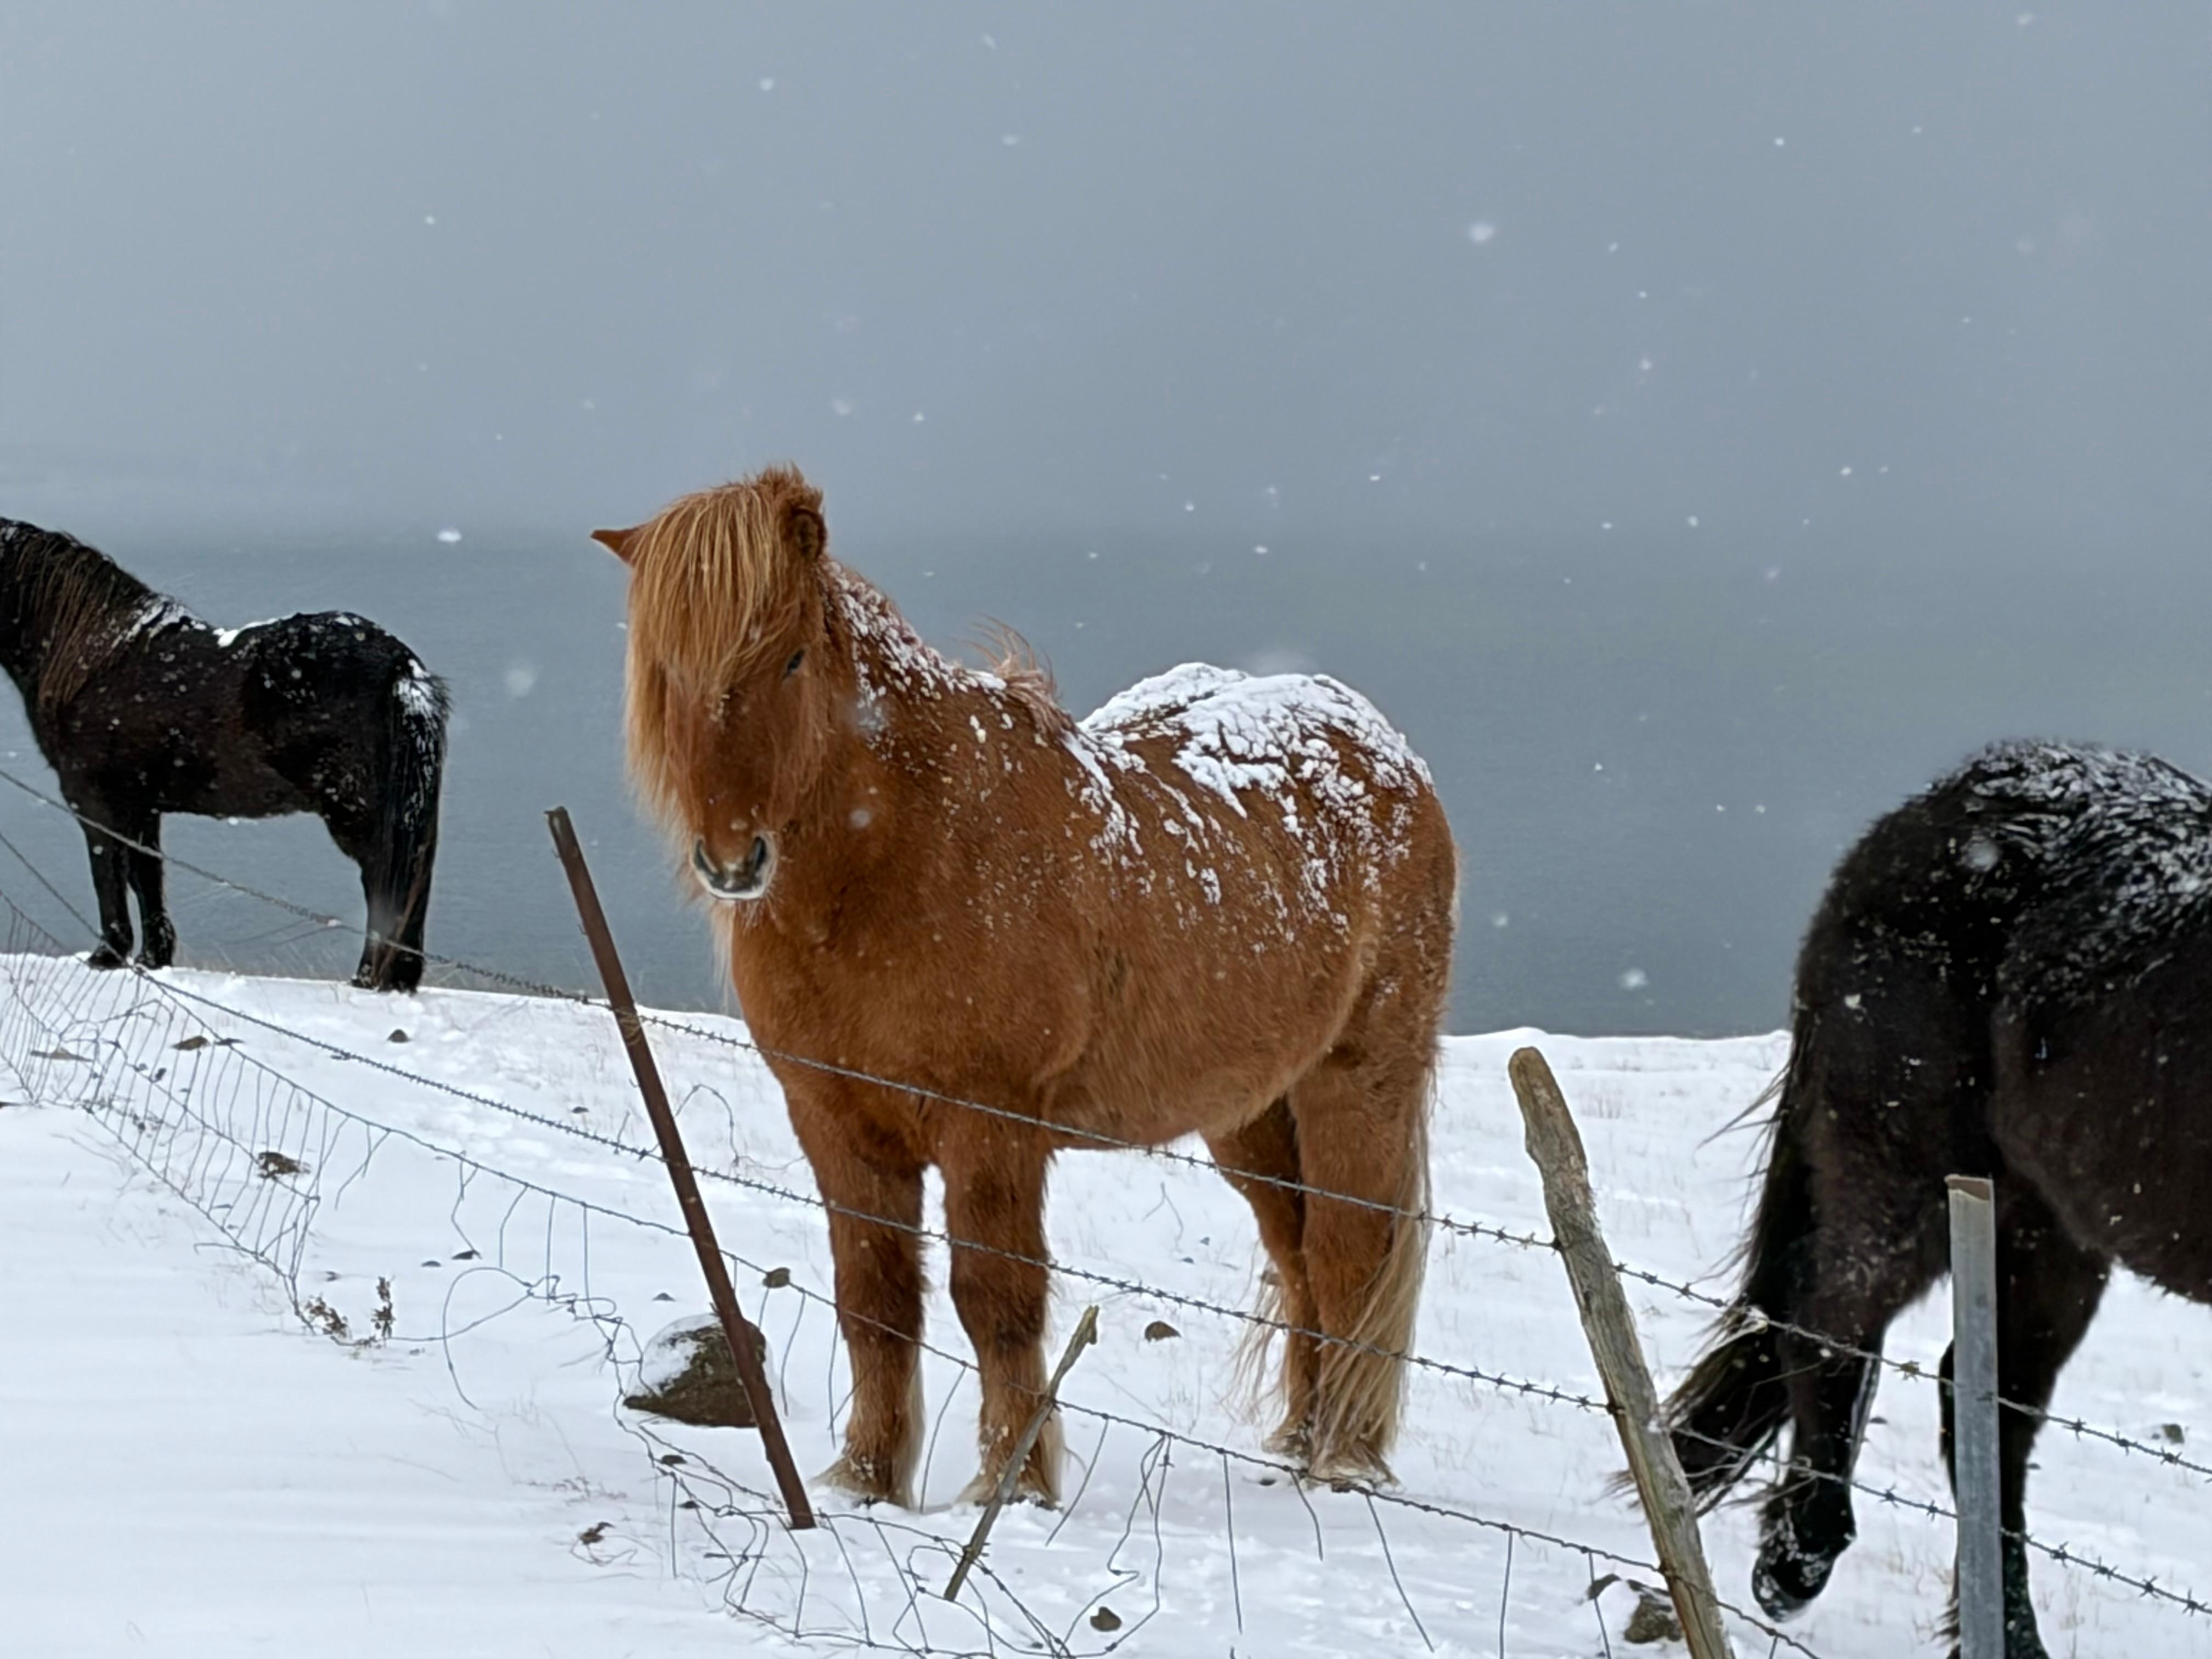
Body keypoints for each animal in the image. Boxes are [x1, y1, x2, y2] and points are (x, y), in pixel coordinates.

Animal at [0, 518, 448, 992]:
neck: (95, 661)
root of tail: (399, 666)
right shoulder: (142, 807)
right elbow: (145, 876)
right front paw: (153, 958)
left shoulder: (94, 802)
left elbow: (109, 874)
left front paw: (107, 957)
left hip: (359, 815)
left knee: (384, 886)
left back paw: (365, 979)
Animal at [599, 465, 1456, 1507]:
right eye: (664, 672)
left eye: (792, 657)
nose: (733, 859)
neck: (904, 852)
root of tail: (1388, 751)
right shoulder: (836, 1122)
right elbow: (874, 1298)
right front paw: (864, 1480)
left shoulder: (991, 1126)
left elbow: (994, 1300)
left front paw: (1010, 1486)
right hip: (1250, 1114)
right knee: (1296, 1262)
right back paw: (1297, 1442)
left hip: (1356, 1084)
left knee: (1345, 1259)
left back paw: (1342, 1460)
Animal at [1664, 739, 2212, 1657]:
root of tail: (1912, 819)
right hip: (1912, 1172)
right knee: (1832, 1325)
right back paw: (1795, 1562)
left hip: (2044, 1231)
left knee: (1986, 1406)